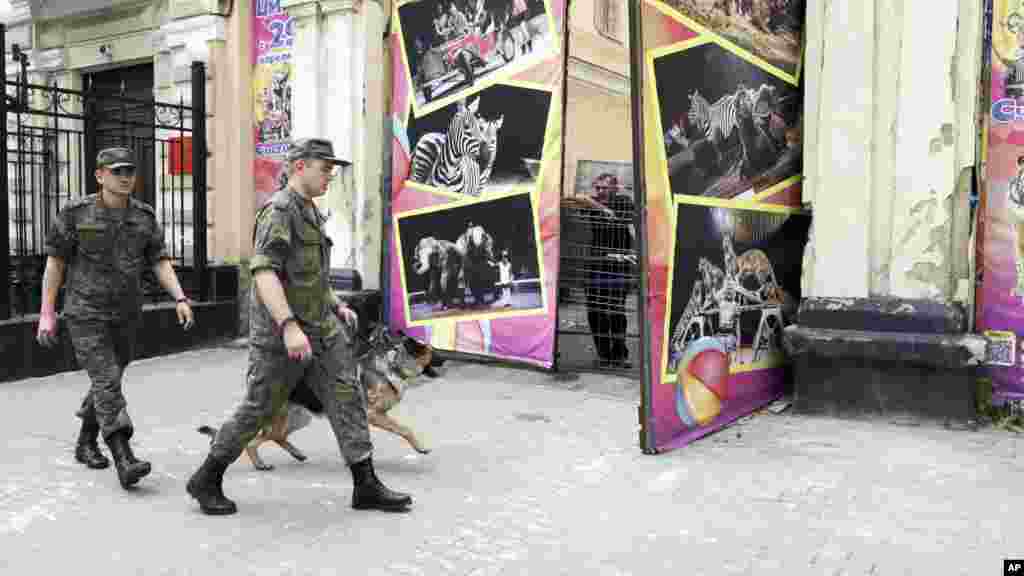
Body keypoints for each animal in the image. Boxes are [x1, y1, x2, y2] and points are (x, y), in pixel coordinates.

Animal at [198, 325, 440, 469]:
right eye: (434, 351)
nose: (445, 355)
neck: (391, 365)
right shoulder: (372, 414)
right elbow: (404, 429)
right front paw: (420, 447)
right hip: (285, 418)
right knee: (257, 440)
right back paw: (260, 464)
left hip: (300, 418)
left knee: (276, 436)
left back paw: (297, 454)